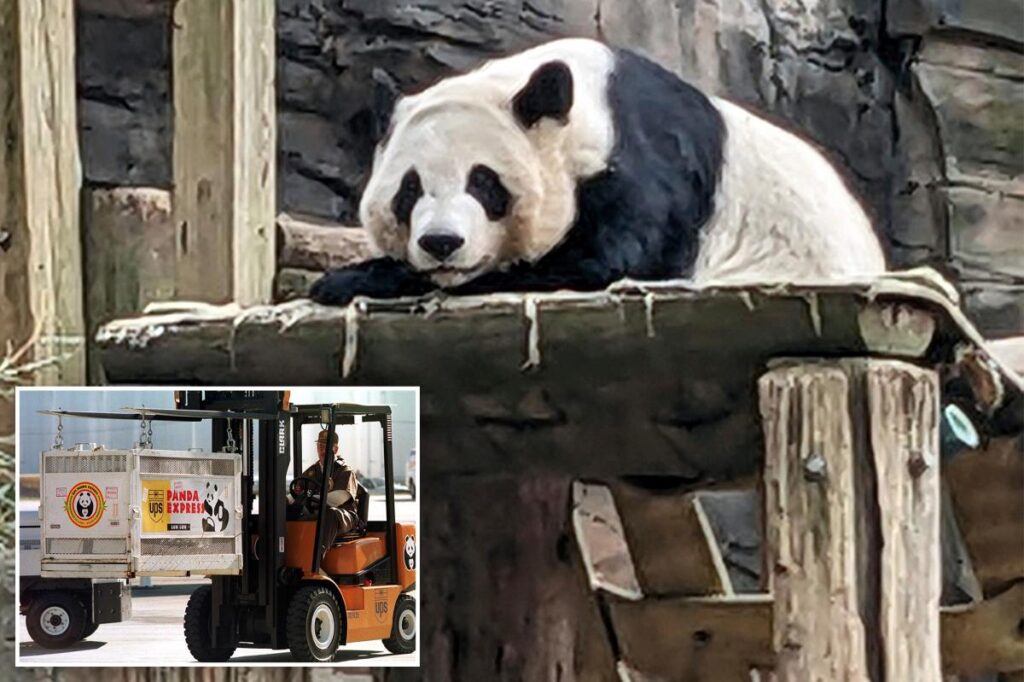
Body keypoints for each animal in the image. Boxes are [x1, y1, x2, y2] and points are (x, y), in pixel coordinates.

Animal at [310, 38, 885, 305]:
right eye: (409, 190)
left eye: (484, 183)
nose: (442, 243)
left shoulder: (646, 168)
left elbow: (597, 263)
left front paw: (352, 278)